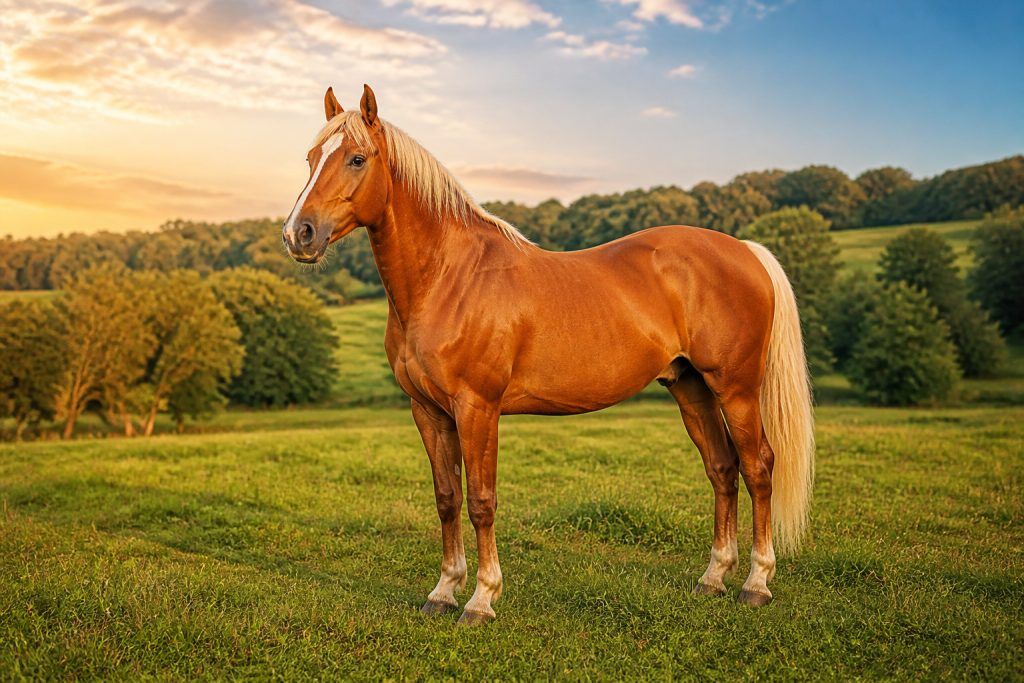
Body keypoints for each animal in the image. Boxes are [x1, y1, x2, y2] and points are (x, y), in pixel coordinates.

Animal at [282, 85, 814, 625]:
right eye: (311, 158)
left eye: (357, 158)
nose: (298, 233)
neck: (450, 277)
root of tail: (745, 250)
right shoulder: (428, 411)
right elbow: (447, 498)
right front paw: (444, 591)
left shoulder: (477, 409)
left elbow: (481, 501)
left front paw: (481, 599)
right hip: (690, 386)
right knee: (723, 470)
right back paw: (713, 577)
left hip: (737, 389)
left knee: (758, 468)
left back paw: (756, 582)